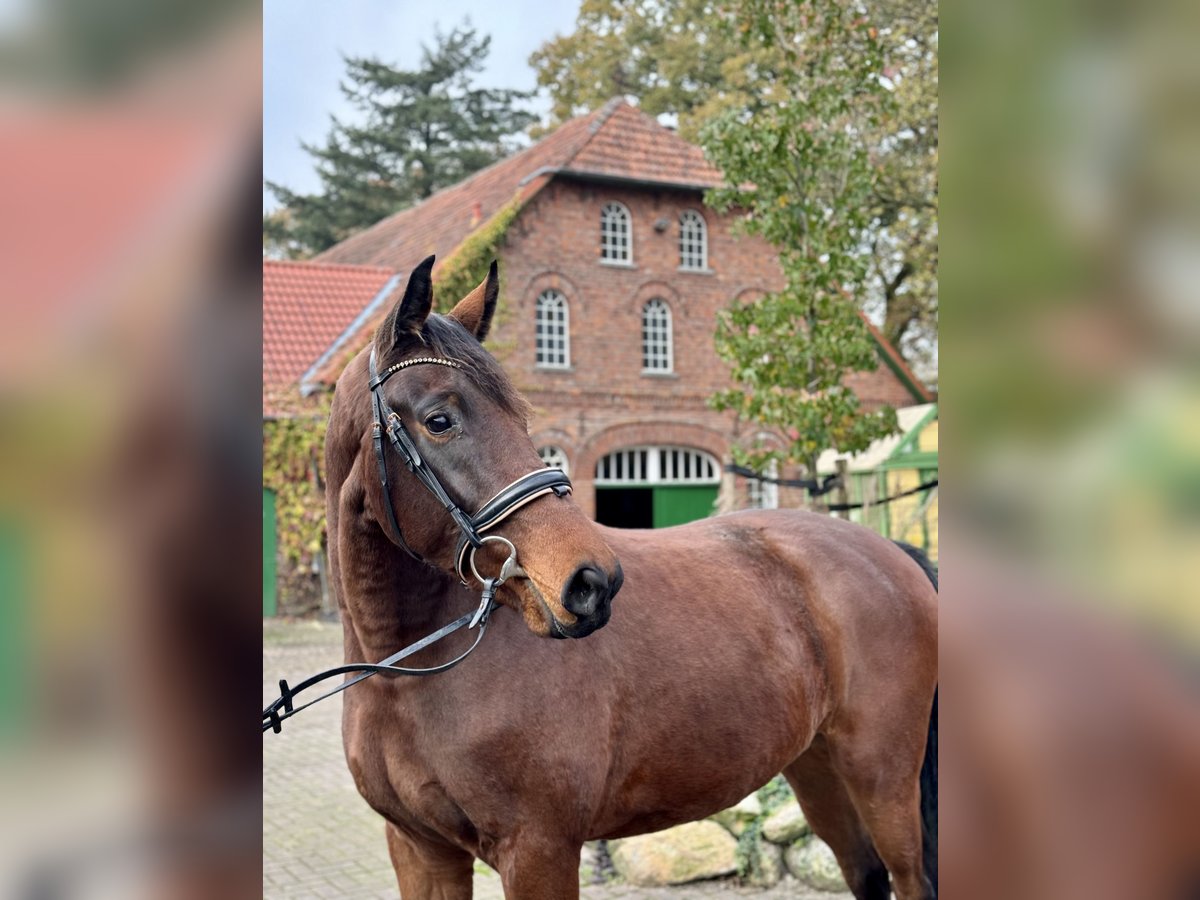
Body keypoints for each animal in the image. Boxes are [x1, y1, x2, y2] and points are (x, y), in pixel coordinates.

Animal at [321, 255, 936, 900]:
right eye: (439, 420)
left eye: (522, 418)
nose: (593, 581)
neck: (405, 677)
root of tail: (891, 553)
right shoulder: (421, 851)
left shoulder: (538, 850)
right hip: (816, 768)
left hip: (882, 775)